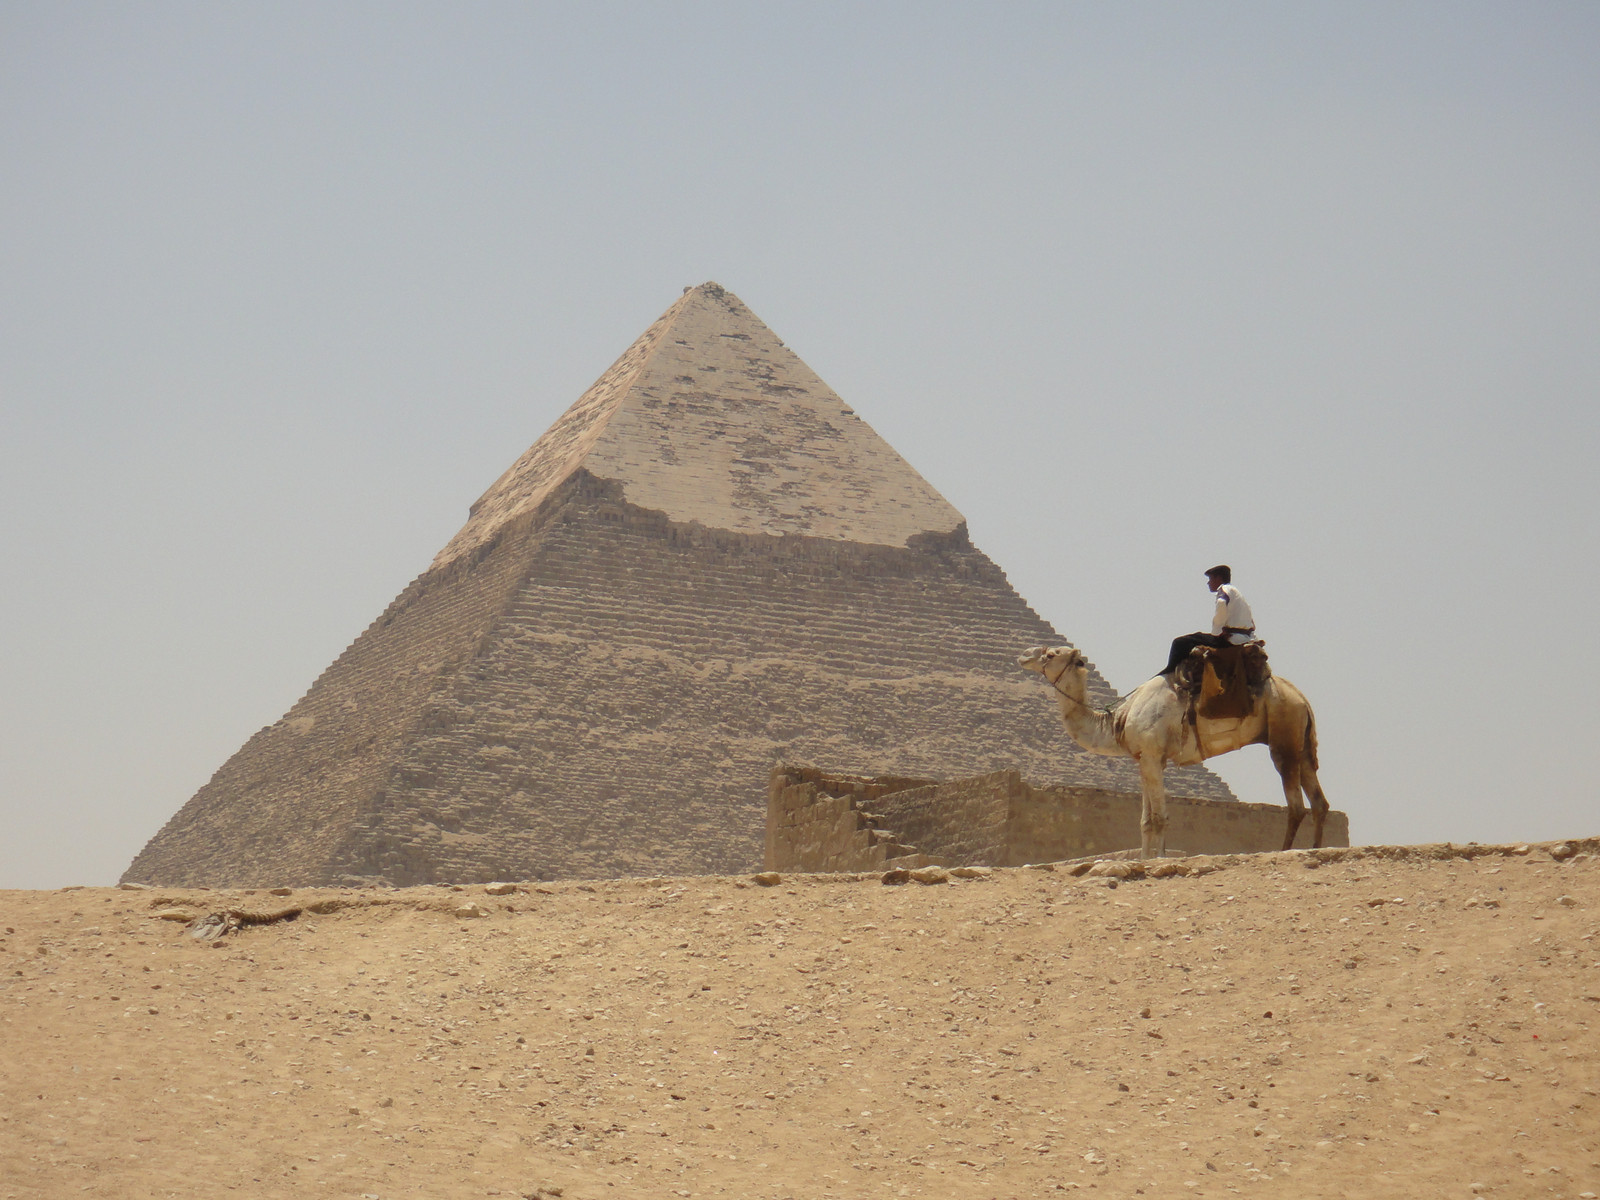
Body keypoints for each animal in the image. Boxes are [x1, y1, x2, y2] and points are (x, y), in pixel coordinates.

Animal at [1017, 649, 1331, 864]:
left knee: (1296, 804)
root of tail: (1302, 699)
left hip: (1283, 734)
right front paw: (1145, 859)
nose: (1024, 655)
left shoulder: (1152, 755)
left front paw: (1157, 859)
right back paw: (1317, 848)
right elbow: (1146, 820)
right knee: (1319, 801)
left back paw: (1286, 851)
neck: (1118, 719)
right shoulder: (1146, 759)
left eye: (1051, 654)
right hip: (1300, 741)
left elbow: (1159, 817)